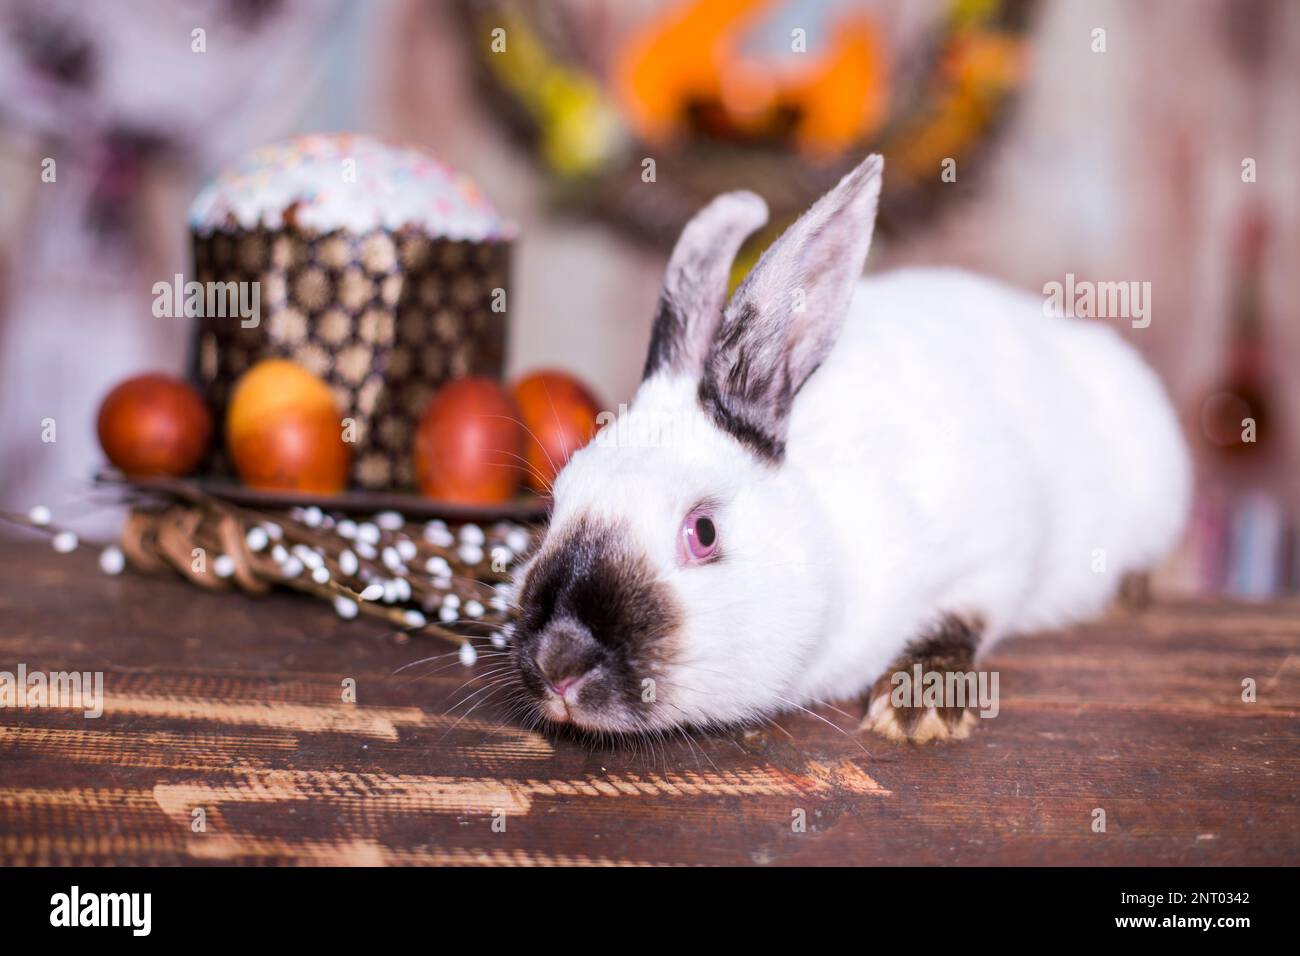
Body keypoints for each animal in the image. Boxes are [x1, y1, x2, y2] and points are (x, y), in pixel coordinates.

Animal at [505, 153, 1191, 743]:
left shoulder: (1000, 544)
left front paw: (920, 708)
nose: (559, 661)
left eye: (703, 532)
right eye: (552, 509)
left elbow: (966, 611)